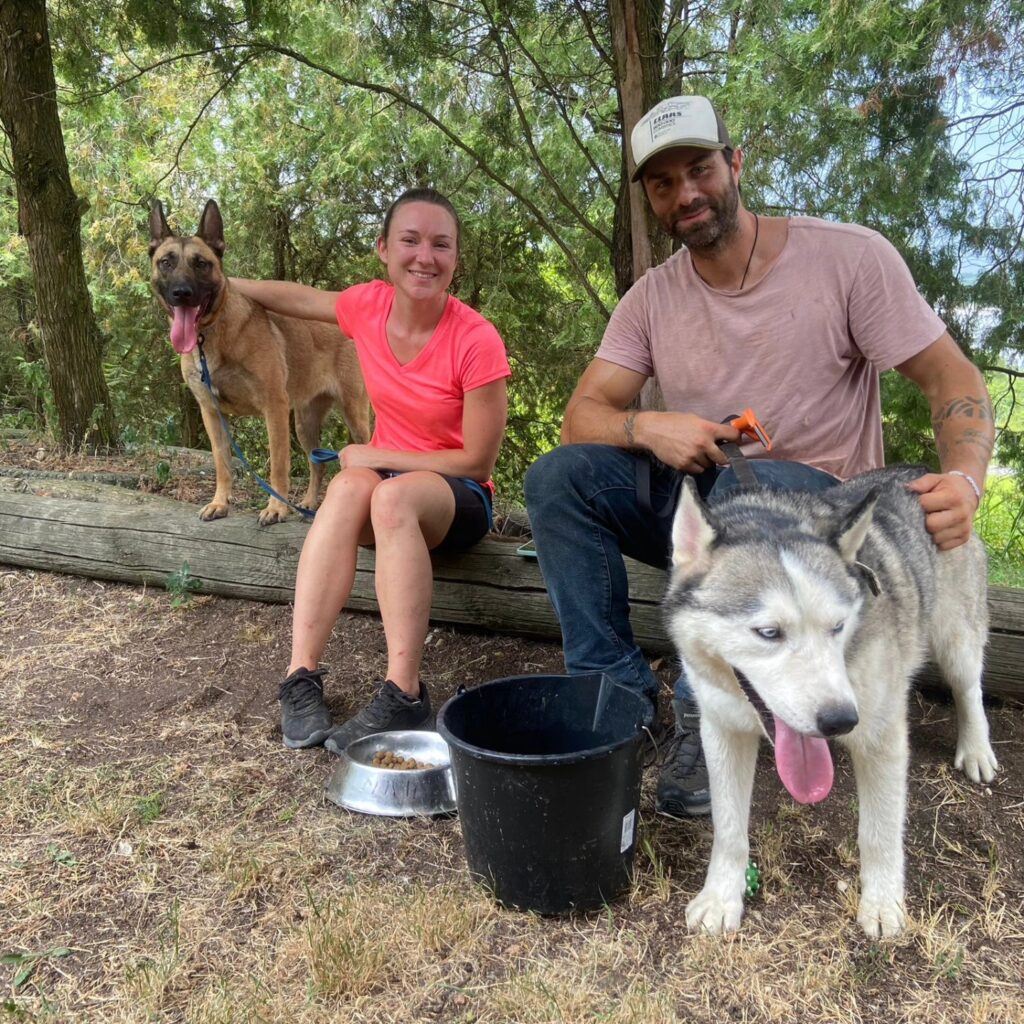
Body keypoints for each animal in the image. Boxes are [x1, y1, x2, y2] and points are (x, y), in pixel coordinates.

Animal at [148, 198, 372, 524]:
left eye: (201, 263)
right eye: (166, 262)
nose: (182, 293)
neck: (208, 336)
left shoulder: (274, 408)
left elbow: (278, 465)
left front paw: (276, 507)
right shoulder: (211, 414)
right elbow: (222, 464)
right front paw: (220, 502)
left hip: (354, 416)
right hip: (304, 423)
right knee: (317, 464)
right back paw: (308, 505)